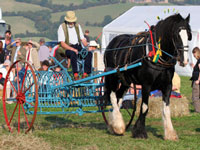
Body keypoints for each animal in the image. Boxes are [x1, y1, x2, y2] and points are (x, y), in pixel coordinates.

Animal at [104, 13, 191, 141]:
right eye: (176, 35)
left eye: (189, 34)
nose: (184, 60)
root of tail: (112, 42)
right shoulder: (146, 85)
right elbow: (144, 108)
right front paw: (140, 132)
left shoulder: (167, 85)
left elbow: (166, 109)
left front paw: (170, 133)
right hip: (112, 77)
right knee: (113, 96)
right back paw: (118, 126)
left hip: (125, 81)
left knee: (119, 97)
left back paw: (113, 125)